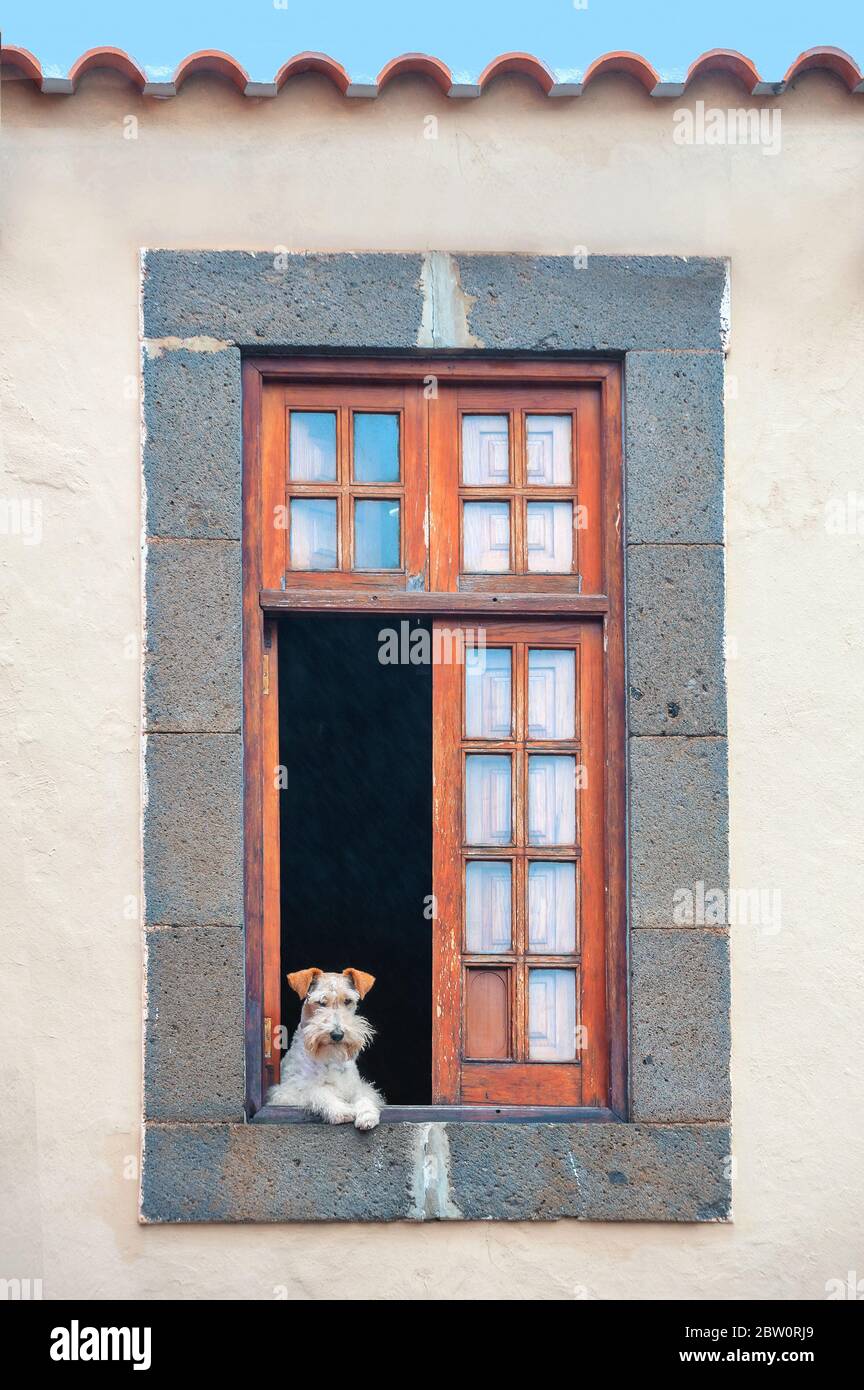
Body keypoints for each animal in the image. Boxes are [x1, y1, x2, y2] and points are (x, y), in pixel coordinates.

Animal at [265, 967, 383, 1128]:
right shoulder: (290, 1091)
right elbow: (320, 1092)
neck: (330, 1058)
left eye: (348, 1001)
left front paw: (367, 1115)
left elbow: (364, 1096)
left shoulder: (355, 1086)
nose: (337, 1034)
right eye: (321, 1002)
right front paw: (341, 1111)